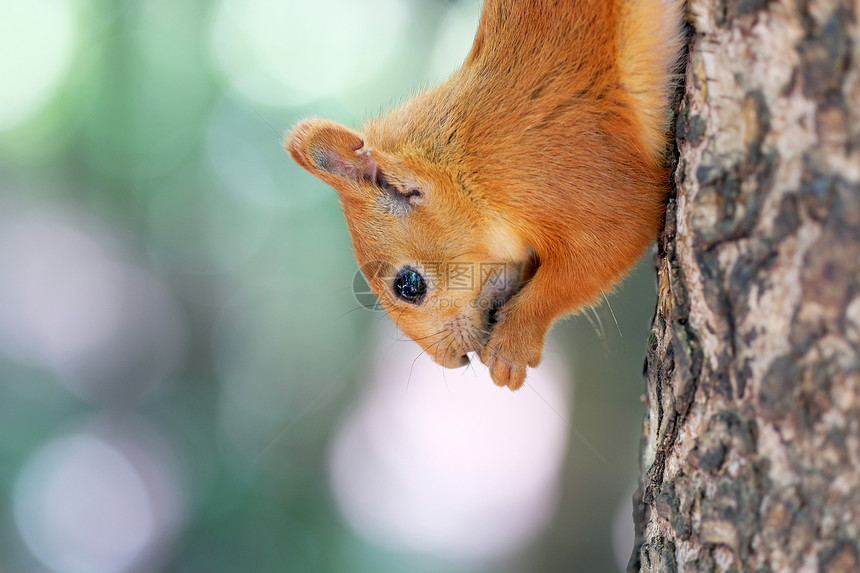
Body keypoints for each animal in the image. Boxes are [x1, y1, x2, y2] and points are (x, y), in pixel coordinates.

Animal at [288, 0, 684, 388]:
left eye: (409, 285)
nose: (454, 360)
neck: (470, 170)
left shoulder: (580, 174)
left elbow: (607, 246)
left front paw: (512, 345)